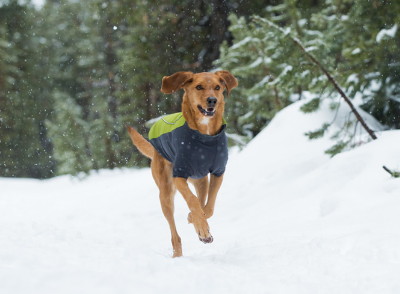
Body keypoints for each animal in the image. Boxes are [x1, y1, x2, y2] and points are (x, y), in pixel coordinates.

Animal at [127, 70, 238, 256]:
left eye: (217, 87)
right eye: (199, 87)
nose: (212, 100)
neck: (204, 137)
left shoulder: (218, 172)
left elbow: (208, 207)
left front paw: (199, 225)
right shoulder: (179, 175)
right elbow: (192, 201)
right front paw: (201, 227)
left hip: (201, 180)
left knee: (201, 201)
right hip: (165, 192)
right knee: (174, 232)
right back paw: (178, 253)